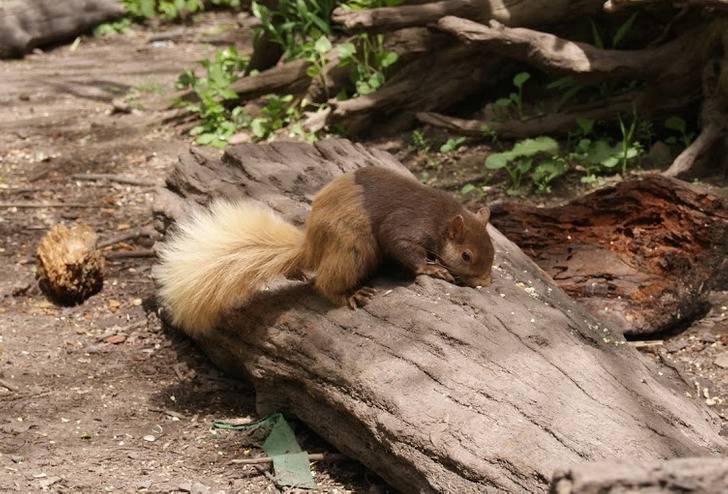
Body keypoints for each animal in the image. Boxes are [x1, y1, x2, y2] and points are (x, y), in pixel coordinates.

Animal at [155, 166, 495, 338]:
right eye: (466, 256)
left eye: (492, 252)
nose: (485, 283)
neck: (441, 219)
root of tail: (312, 248)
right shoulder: (407, 224)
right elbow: (401, 246)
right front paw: (432, 268)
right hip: (353, 246)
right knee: (325, 283)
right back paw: (351, 294)